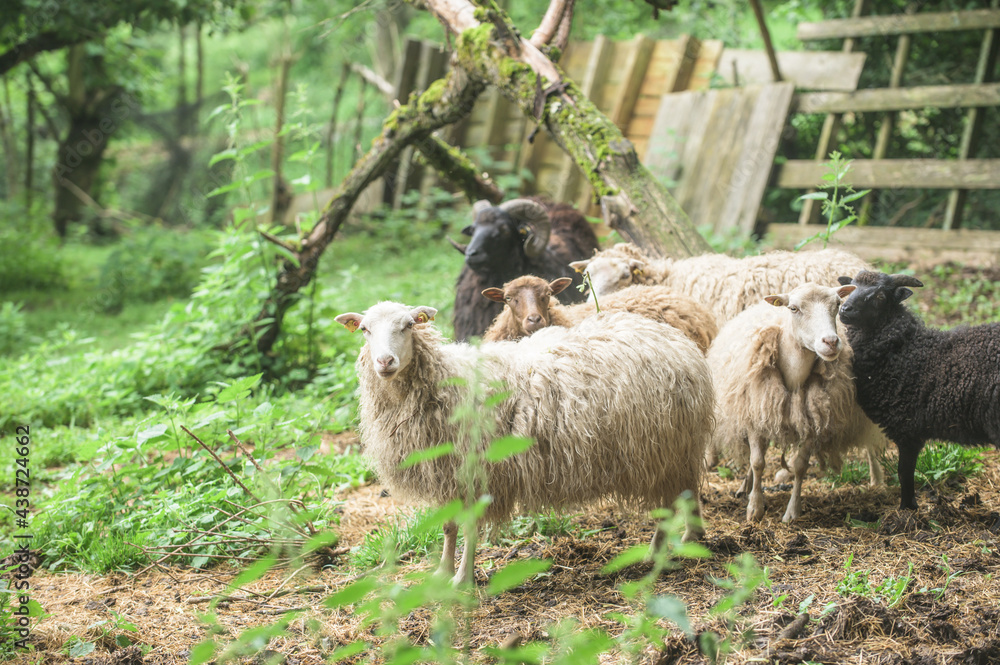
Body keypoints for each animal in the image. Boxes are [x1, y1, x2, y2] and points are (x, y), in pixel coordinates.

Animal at [335, 302, 713, 585]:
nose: (385, 361)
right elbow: (449, 525)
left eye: (409, 325)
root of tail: (677, 340)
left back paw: (668, 548)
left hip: (663, 448)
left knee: (675, 501)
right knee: (683, 494)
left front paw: (463, 579)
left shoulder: (480, 471)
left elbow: (470, 527)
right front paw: (442, 573)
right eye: (365, 329)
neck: (445, 380)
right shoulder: (449, 473)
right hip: (670, 448)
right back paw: (682, 542)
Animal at [708, 282, 888, 523]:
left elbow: (801, 466)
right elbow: (757, 462)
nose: (831, 342)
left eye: (837, 304)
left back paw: (877, 479)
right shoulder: (756, 415)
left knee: (869, 446)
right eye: (793, 308)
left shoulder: (815, 420)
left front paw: (792, 511)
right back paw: (746, 486)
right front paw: (755, 508)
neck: (794, 375)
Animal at [837, 270, 1000, 511]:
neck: (906, 349)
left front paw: (907, 508)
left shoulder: (908, 430)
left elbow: (904, 473)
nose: (844, 309)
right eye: (851, 287)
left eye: (880, 297)